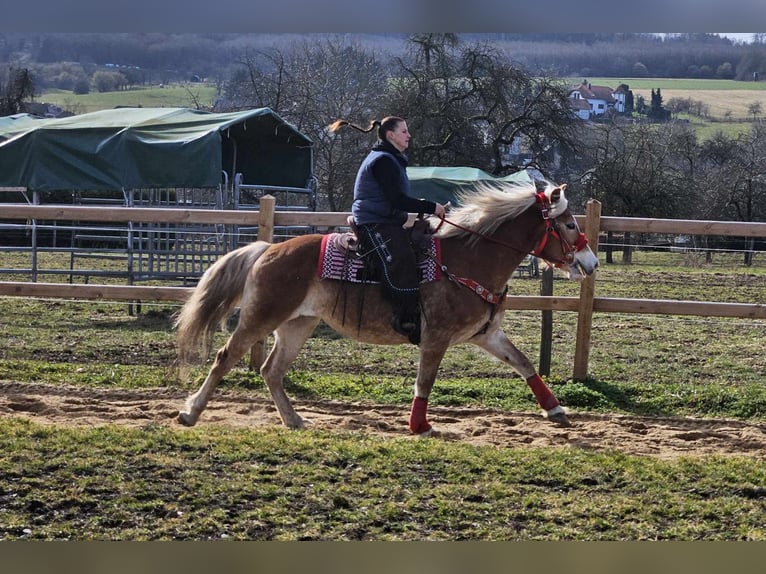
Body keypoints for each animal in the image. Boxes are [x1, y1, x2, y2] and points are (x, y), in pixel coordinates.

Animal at [177, 180, 604, 436]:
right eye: (568, 224)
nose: (591, 262)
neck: (470, 260)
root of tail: (269, 249)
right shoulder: (436, 337)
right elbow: (425, 380)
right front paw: (419, 425)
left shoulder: (487, 334)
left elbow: (524, 363)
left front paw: (554, 408)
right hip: (262, 317)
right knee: (226, 357)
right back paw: (191, 411)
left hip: (298, 324)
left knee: (271, 370)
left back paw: (294, 419)